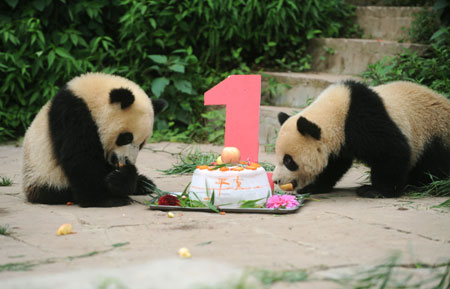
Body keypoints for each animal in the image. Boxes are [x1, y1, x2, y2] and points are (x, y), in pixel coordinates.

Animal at [23, 73, 167, 206]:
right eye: (126, 138)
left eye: (142, 144)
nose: (127, 161)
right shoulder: (74, 115)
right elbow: (81, 158)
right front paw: (104, 198)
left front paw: (122, 179)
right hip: (47, 178)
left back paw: (143, 183)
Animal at [272, 80, 450, 197]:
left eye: (288, 161)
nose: (276, 180)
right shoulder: (339, 143)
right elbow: (333, 166)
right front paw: (313, 187)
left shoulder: (364, 120)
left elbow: (392, 151)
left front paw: (376, 190)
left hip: (433, 132)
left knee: (433, 165)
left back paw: (421, 184)